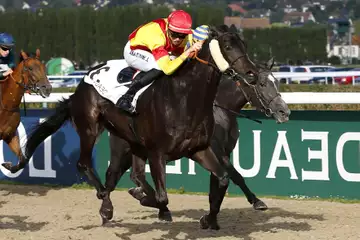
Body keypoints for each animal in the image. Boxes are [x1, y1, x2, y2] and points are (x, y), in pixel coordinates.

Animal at [107, 60, 290, 229]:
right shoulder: (218, 152)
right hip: (123, 151)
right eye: (262, 83)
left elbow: (217, 185)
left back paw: (142, 198)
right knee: (112, 175)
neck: (221, 111)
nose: (284, 112)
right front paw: (257, 201)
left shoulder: (219, 153)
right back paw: (109, 211)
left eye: (277, 82)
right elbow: (236, 175)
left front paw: (212, 220)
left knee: (132, 176)